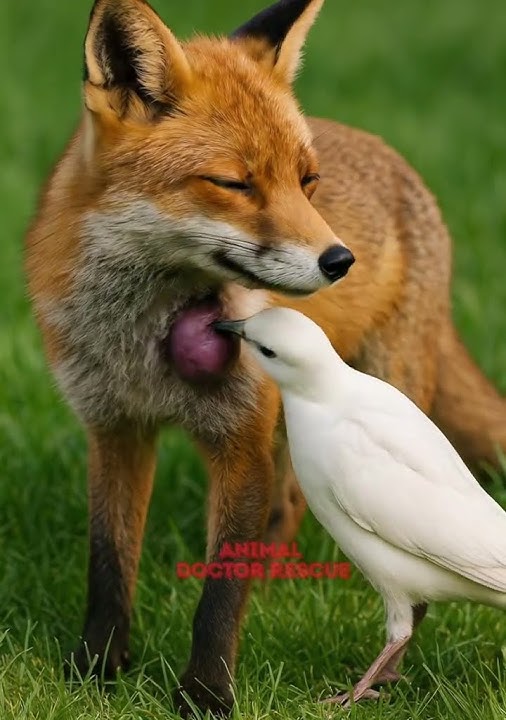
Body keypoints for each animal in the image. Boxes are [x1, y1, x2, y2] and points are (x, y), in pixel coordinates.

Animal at [25, 0, 506, 715]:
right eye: (233, 183)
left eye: (307, 182)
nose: (339, 261)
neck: (144, 342)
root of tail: (395, 157)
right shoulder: (113, 426)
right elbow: (109, 564)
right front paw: (96, 671)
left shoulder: (239, 433)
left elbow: (221, 591)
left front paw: (204, 695)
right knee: (286, 507)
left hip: (386, 398)